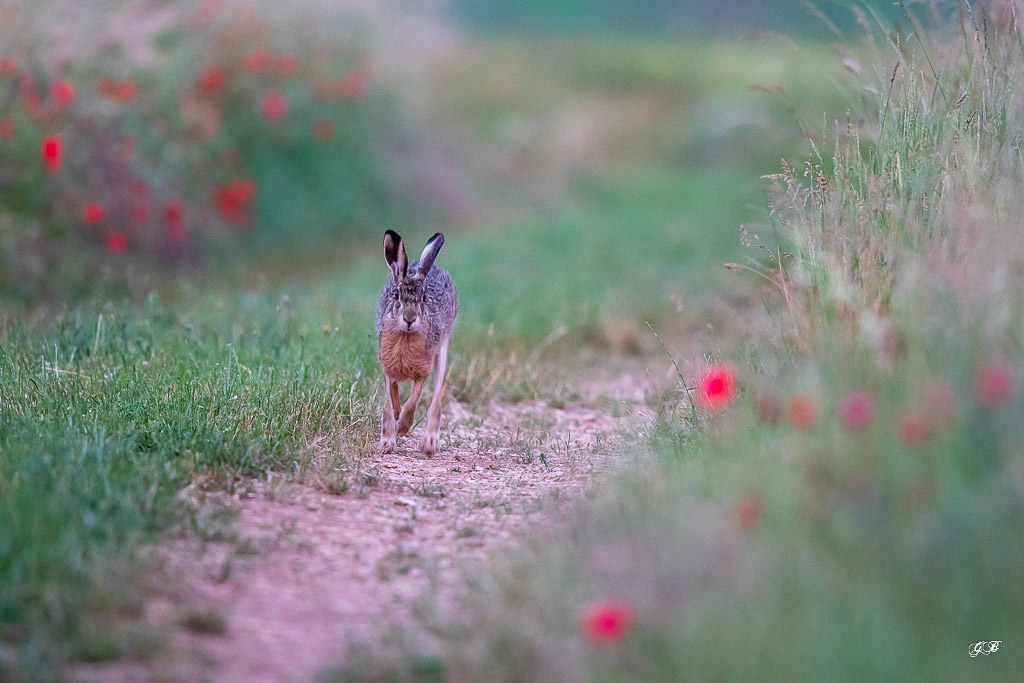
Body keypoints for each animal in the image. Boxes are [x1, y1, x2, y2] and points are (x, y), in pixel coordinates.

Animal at [376, 230, 458, 456]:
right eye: (396, 294)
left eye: (424, 296)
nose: (410, 319)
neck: (405, 336)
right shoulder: (387, 366)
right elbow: (389, 402)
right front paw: (387, 442)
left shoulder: (423, 370)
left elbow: (412, 402)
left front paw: (403, 427)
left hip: (442, 348)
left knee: (436, 400)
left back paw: (430, 443)